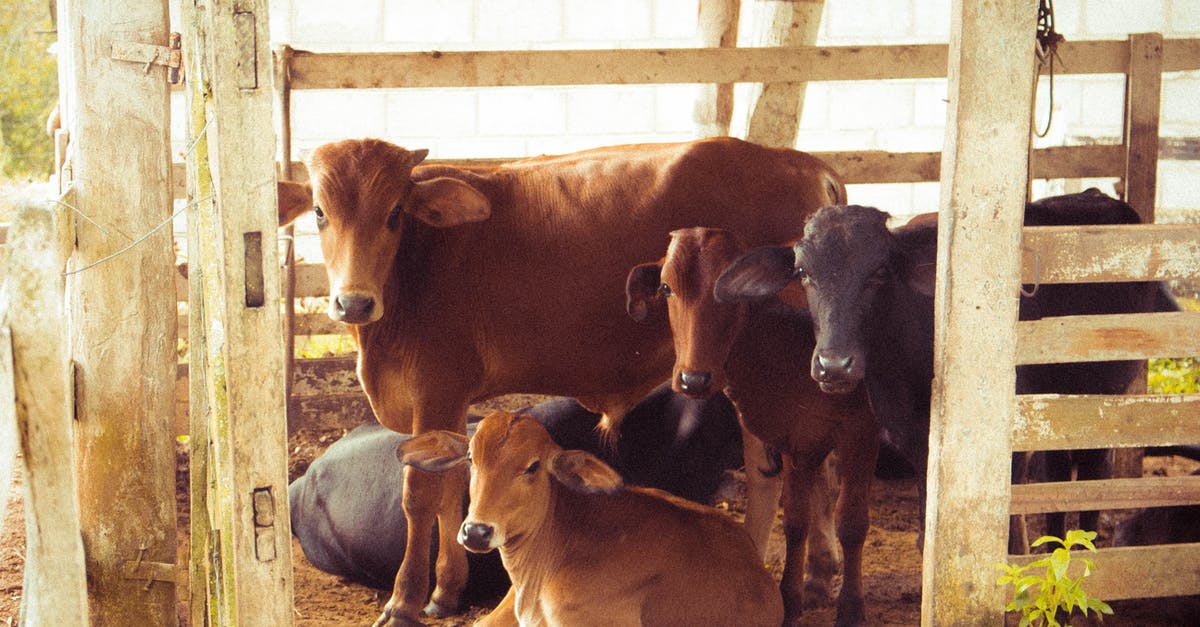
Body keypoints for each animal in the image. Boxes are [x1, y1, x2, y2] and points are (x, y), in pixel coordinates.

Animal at [626, 227, 879, 626]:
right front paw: (789, 601)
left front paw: (851, 610)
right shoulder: (796, 438)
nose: (693, 379)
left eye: (730, 289)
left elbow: (851, 523)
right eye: (666, 288)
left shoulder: (861, 430)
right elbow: (796, 521)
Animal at [713, 189, 1181, 552]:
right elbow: (927, 536)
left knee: (1090, 481)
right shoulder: (913, 440)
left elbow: (1008, 538)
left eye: (879, 271)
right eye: (803, 272)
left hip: (1102, 400)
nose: (834, 364)